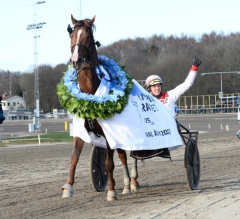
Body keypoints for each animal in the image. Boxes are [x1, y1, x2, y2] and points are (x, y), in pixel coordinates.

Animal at [60, 14, 139, 201]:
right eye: (71, 34)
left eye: (88, 36)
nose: (76, 61)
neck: (91, 92)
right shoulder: (80, 131)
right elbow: (74, 157)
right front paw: (68, 187)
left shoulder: (109, 133)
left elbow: (108, 163)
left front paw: (111, 190)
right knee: (122, 155)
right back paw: (126, 185)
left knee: (130, 154)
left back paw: (132, 182)